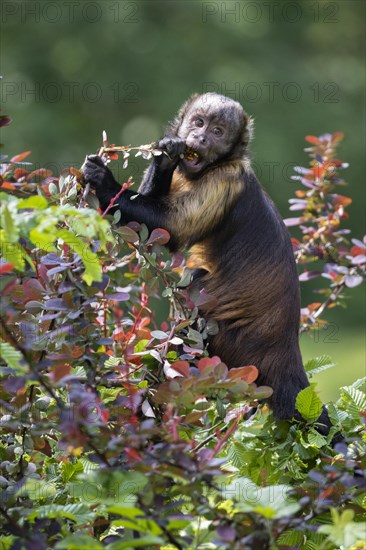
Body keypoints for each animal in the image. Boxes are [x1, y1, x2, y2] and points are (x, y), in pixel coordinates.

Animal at [83, 92, 334, 434]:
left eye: (217, 132)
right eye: (198, 123)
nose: (201, 138)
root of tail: (284, 349)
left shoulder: (224, 180)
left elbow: (169, 230)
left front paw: (104, 182)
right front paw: (165, 156)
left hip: (232, 343)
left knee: (196, 283)